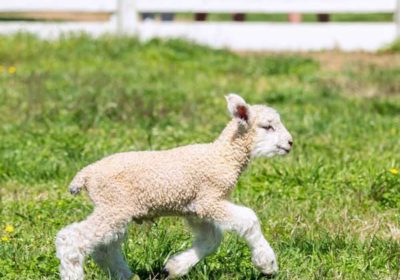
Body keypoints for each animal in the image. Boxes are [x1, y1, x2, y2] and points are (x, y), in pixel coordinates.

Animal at [55, 94, 294, 280]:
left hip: (114, 209)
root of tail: (85, 174)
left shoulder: (195, 209)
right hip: (114, 205)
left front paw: (173, 268)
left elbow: (211, 240)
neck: (222, 157)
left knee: (104, 248)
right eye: (267, 126)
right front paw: (267, 264)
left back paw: (125, 274)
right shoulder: (210, 199)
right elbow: (249, 220)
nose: (290, 143)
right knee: (71, 239)